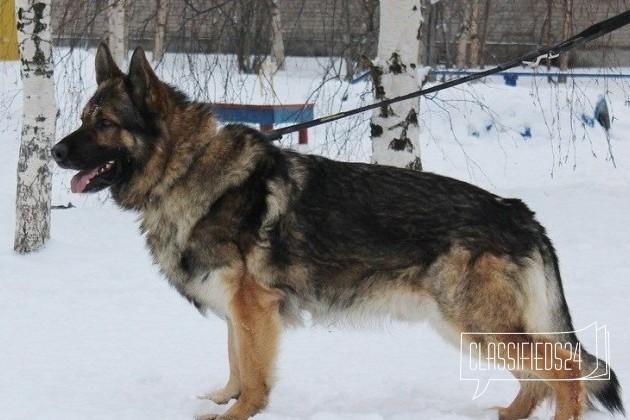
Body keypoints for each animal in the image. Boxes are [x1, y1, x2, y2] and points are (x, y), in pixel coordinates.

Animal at [51, 44, 624, 418]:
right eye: (83, 117)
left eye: (104, 123)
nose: (53, 152)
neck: (186, 169)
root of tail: (519, 212)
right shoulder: (239, 310)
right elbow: (235, 361)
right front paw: (223, 398)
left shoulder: (253, 307)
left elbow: (253, 374)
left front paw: (238, 413)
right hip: (472, 327)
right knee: (540, 377)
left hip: (474, 324)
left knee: (567, 373)